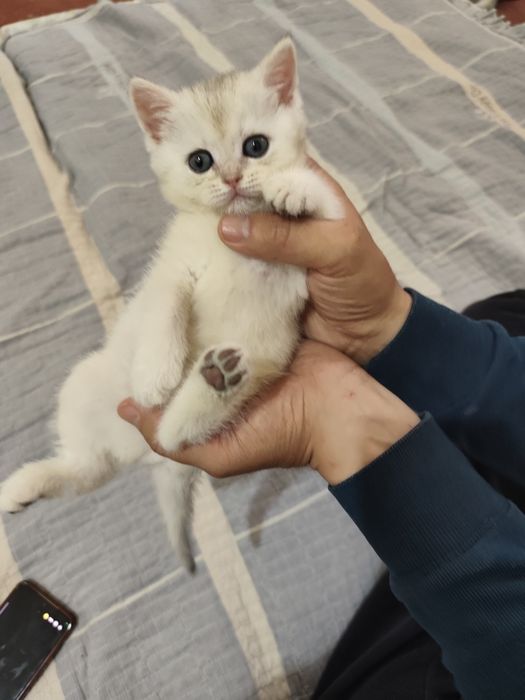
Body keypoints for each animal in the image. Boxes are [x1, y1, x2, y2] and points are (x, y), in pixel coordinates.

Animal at [0, 38, 342, 571]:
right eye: (199, 161)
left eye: (256, 146)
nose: (233, 178)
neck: (225, 233)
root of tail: (148, 456)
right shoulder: (171, 267)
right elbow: (167, 300)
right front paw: (155, 371)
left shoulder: (329, 242)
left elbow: (325, 202)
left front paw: (291, 187)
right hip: (83, 386)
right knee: (88, 470)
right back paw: (24, 485)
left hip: (263, 362)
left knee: (176, 436)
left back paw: (211, 384)